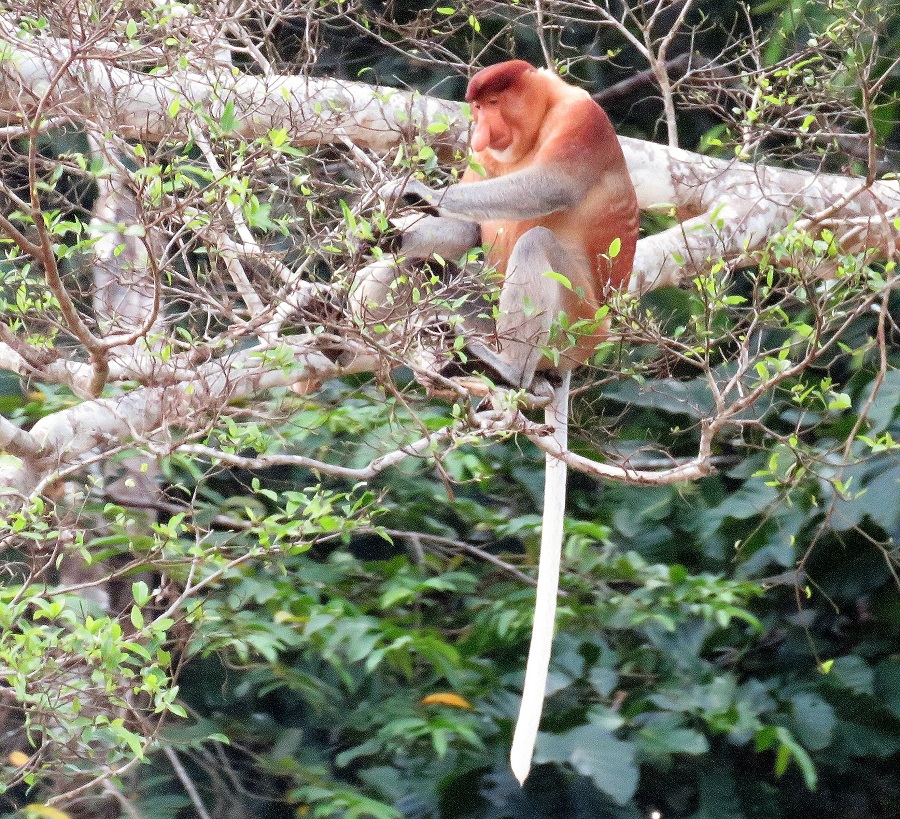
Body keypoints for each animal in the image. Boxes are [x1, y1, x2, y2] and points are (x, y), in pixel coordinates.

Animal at [354, 60, 640, 784]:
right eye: (476, 108)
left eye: (493, 100)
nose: (481, 128)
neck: (533, 127)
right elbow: (463, 228)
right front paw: (395, 225)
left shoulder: (581, 121)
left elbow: (549, 186)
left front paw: (420, 190)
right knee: (434, 265)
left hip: (577, 321)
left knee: (535, 240)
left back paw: (506, 370)